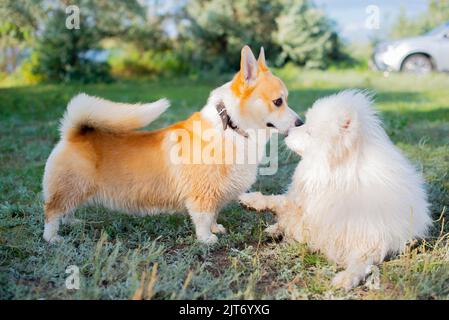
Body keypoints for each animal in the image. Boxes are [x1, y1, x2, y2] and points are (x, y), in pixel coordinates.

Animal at [43, 45, 300, 244]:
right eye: (278, 101)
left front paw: (216, 229)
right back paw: (53, 237)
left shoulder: (215, 194)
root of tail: (73, 132)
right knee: (52, 213)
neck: (232, 127)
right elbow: (203, 217)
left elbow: (214, 214)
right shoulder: (201, 195)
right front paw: (207, 238)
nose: (300, 122)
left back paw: (74, 222)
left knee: (68, 211)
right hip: (69, 189)